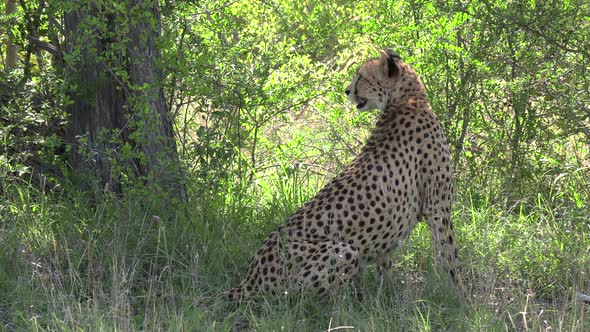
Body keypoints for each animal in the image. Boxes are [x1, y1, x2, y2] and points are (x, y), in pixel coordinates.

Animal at [227, 49, 462, 300]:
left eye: (361, 76)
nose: (347, 91)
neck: (407, 99)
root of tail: (249, 279)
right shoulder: (438, 207)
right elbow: (449, 255)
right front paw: (460, 296)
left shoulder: (394, 229)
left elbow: (386, 268)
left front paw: (387, 297)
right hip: (344, 250)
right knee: (306, 300)